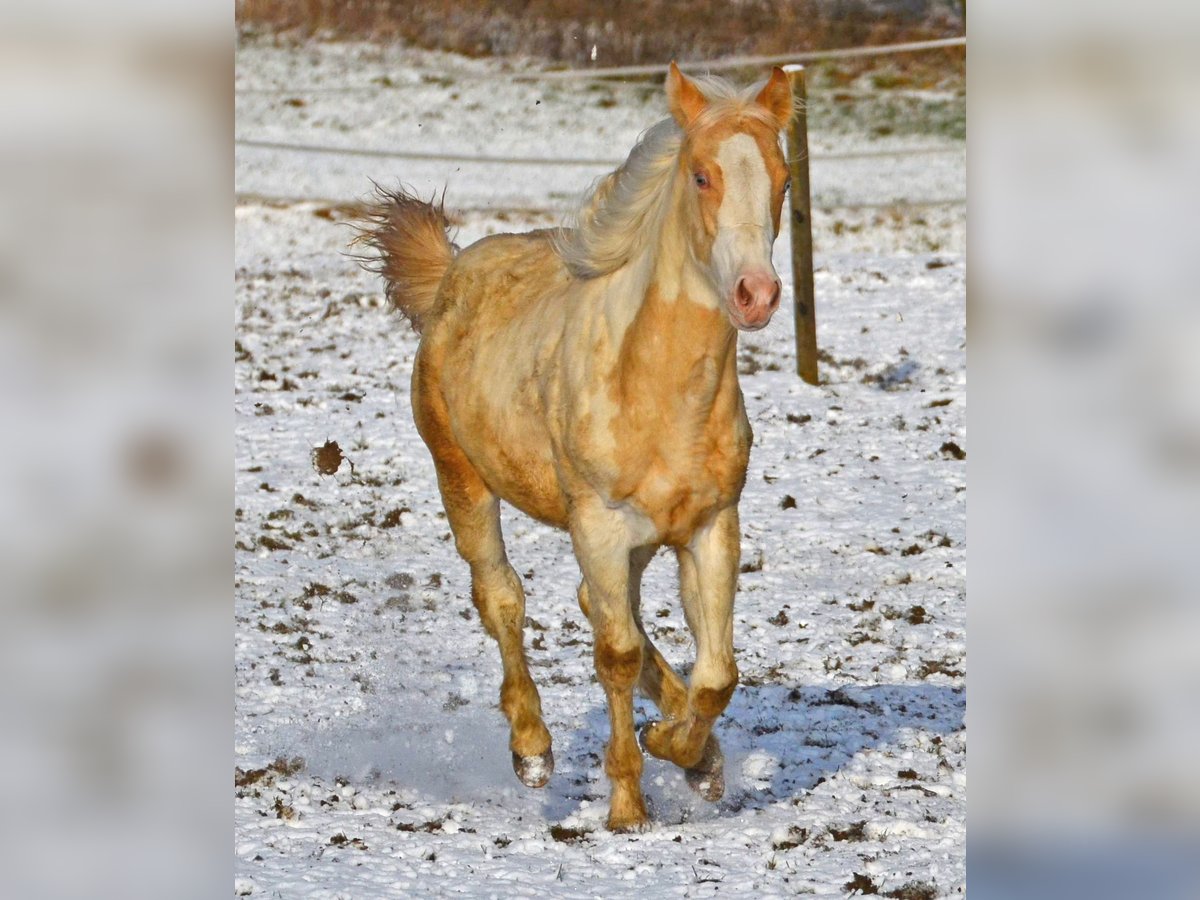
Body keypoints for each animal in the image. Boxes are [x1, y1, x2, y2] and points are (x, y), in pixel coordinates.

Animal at [355, 65, 787, 840]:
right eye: (702, 176)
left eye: (783, 177)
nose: (756, 294)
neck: (656, 386)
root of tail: (454, 271)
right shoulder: (600, 525)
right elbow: (613, 655)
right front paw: (628, 807)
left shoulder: (711, 527)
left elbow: (716, 674)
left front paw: (690, 755)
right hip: (462, 478)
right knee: (502, 597)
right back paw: (532, 751)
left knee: (602, 607)